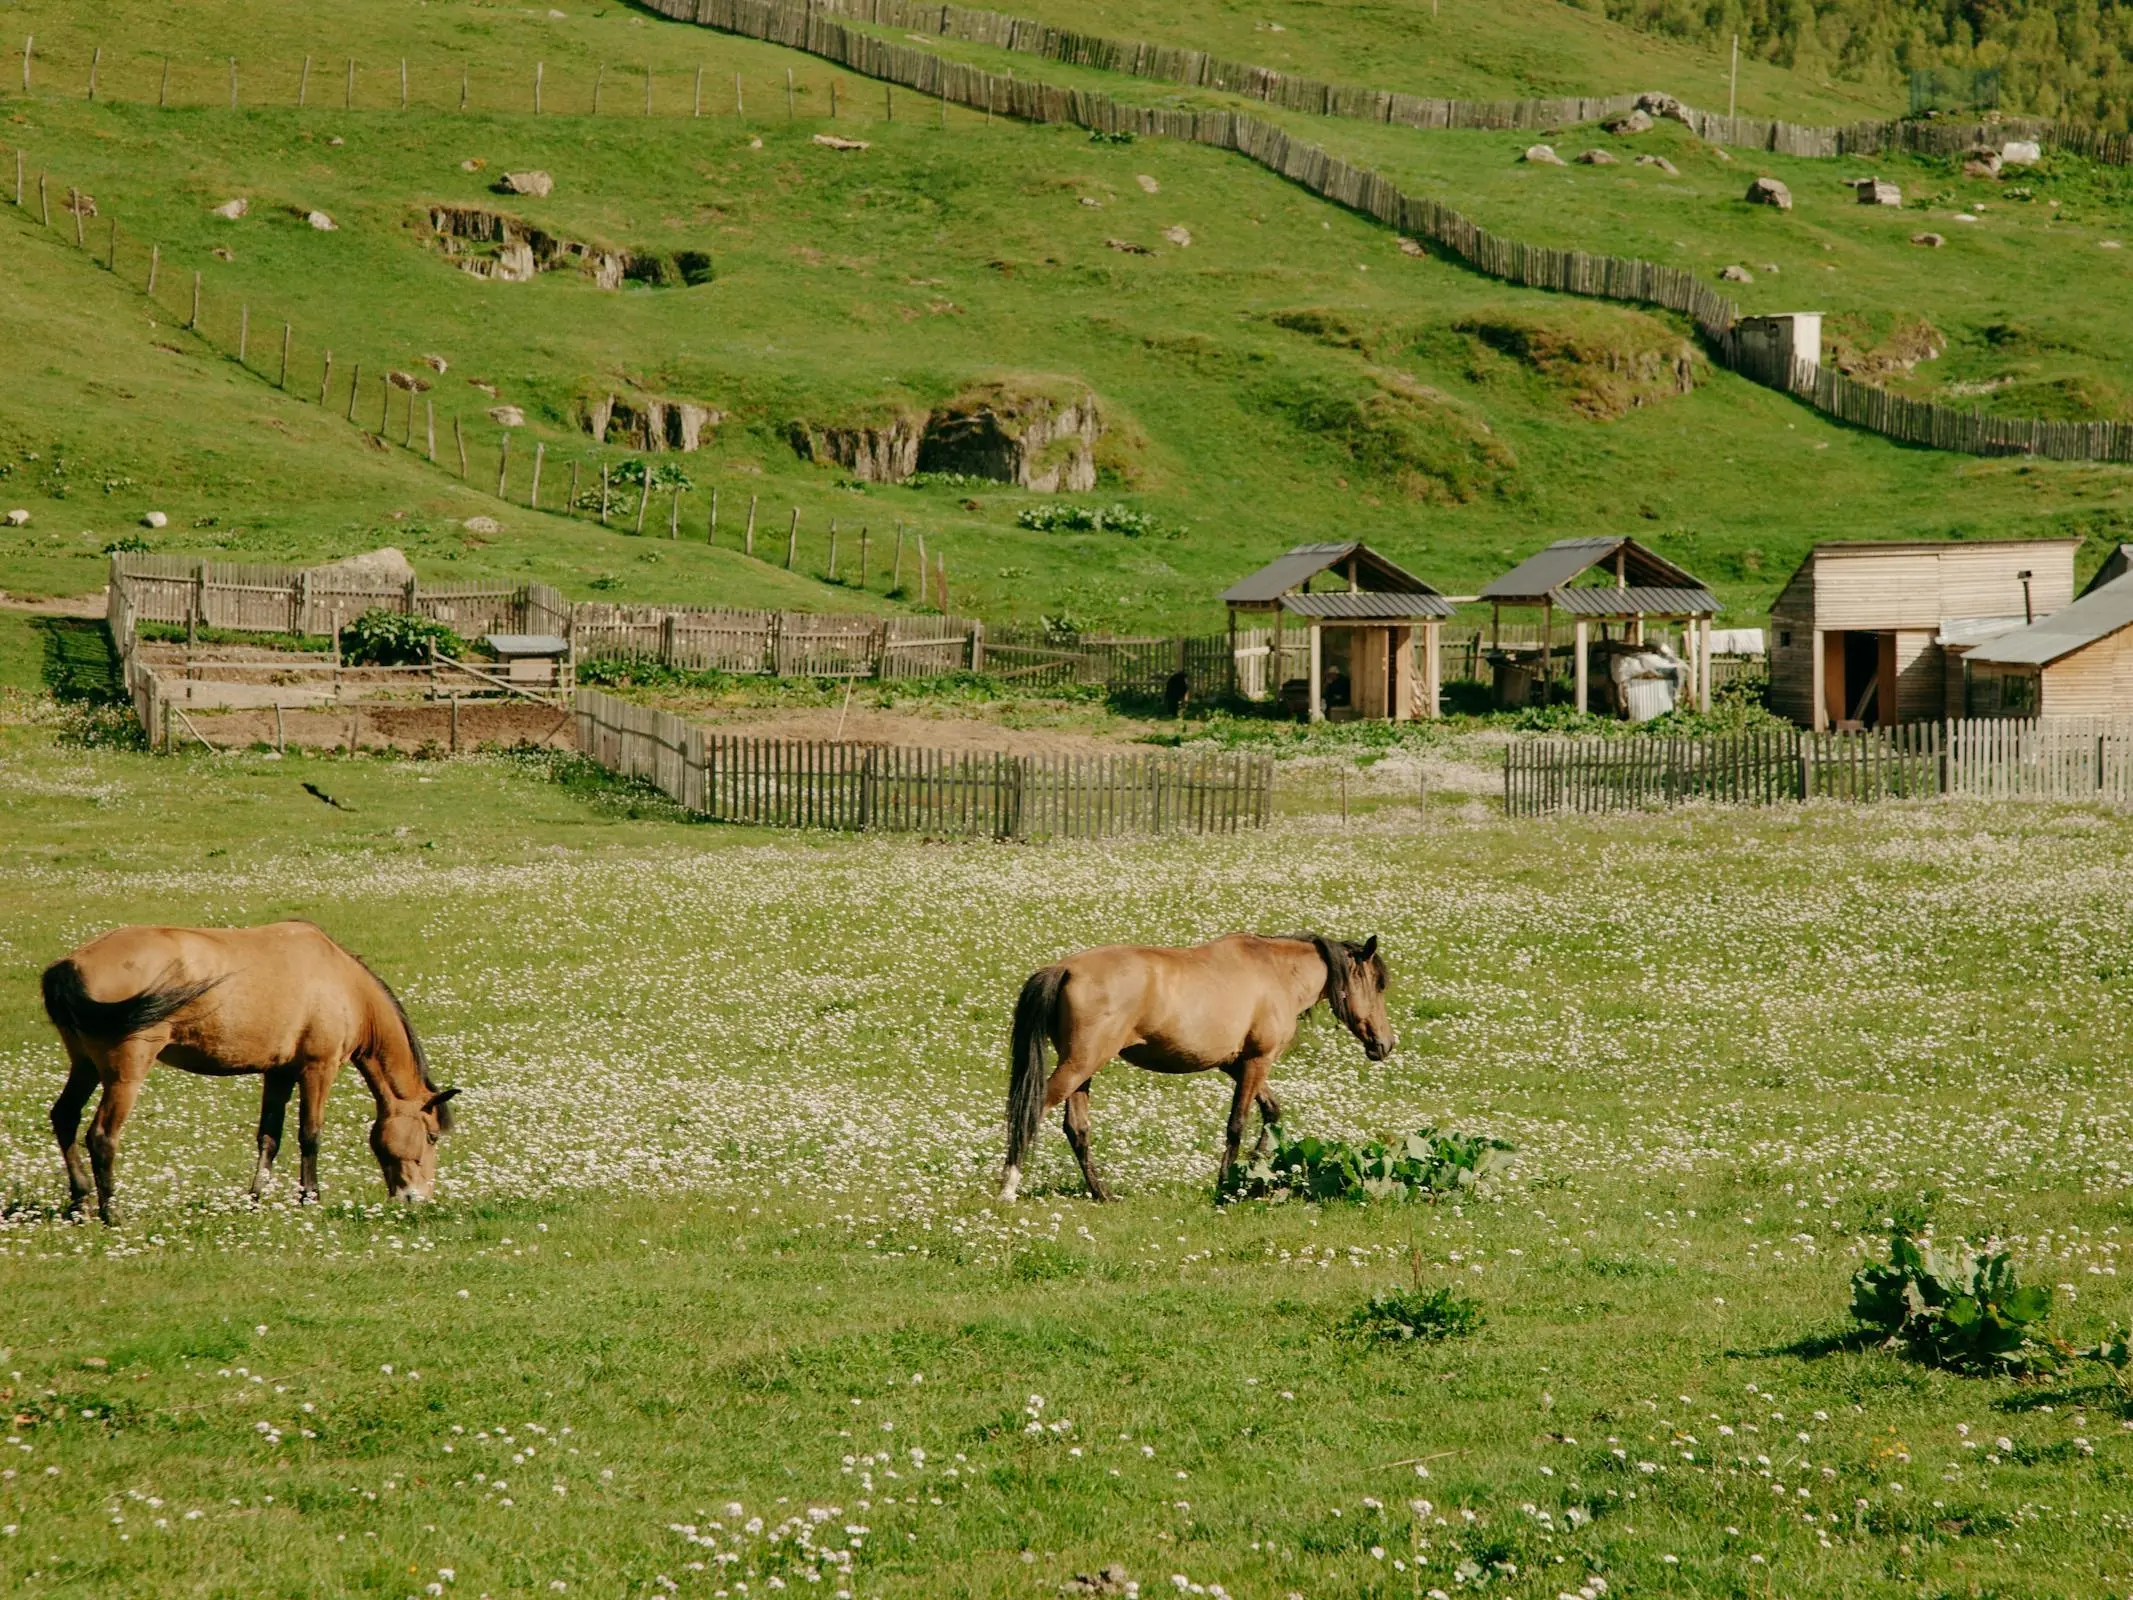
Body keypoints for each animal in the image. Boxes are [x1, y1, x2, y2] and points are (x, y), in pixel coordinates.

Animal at [40, 921, 462, 1220]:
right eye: (432, 1137)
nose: (417, 1198)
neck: (342, 983)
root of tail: (70, 965)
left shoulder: (279, 1074)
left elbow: (269, 1137)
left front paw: (255, 1199)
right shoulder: (317, 1069)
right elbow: (310, 1135)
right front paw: (310, 1198)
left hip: (84, 1065)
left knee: (65, 1117)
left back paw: (80, 1202)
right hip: (124, 1073)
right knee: (101, 1136)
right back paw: (112, 1213)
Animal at [1002, 938, 1399, 1203]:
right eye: (1377, 985)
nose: (1385, 1043)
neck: (1276, 973)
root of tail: (1064, 969)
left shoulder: (1236, 1064)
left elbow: (1271, 1112)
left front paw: (1252, 1168)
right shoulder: (1257, 1061)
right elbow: (1237, 1124)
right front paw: (1228, 1182)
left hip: (1083, 1072)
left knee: (1077, 1129)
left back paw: (1102, 1193)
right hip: (1080, 1064)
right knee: (1031, 1112)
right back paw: (1008, 1189)